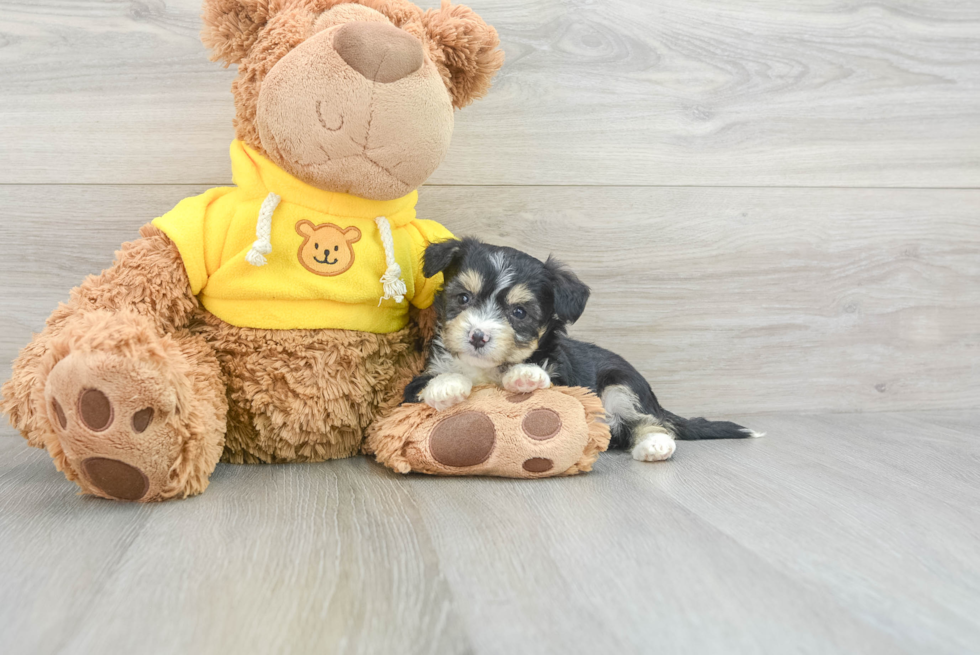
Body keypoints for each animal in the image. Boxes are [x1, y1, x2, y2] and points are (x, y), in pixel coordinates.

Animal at [402, 238, 760, 464]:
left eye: (519, 313)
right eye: (462, 298)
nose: (478, 336)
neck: (486, 368)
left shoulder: (569, 381)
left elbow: (547, 380)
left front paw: (525, 374)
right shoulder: (412, 385)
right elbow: (428, 382)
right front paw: (448, 386)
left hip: (620, 383)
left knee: (646, 420)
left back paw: (655, 444)